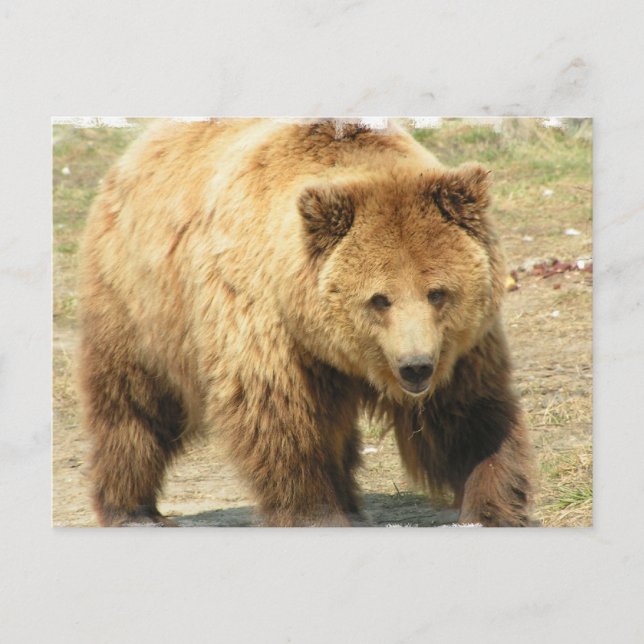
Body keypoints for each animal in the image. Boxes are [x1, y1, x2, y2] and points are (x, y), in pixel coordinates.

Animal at [78, 118, 534, 527]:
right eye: (379, 299)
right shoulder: (267, 324)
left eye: (437, 292)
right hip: (140, 300)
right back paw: (131, 508)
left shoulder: (459, 348)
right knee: (134, 400)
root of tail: (138, 147)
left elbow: (468, 415)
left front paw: (489, 507)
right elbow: (283, 420)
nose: (416, 367)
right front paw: (315, 513)